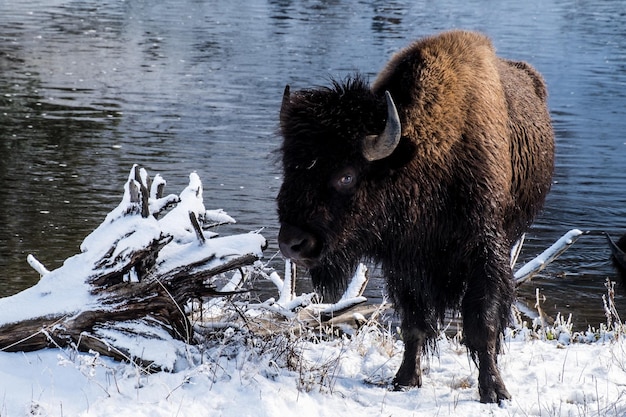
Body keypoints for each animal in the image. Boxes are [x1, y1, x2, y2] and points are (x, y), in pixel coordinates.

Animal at [276, 30, 552, 402]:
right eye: (288, 165)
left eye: (346, 175)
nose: (293, 243)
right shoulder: (405, 262)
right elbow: (413, 324)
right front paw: (405, 380)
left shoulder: (486, 251)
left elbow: (484, 323)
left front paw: (495, 392)